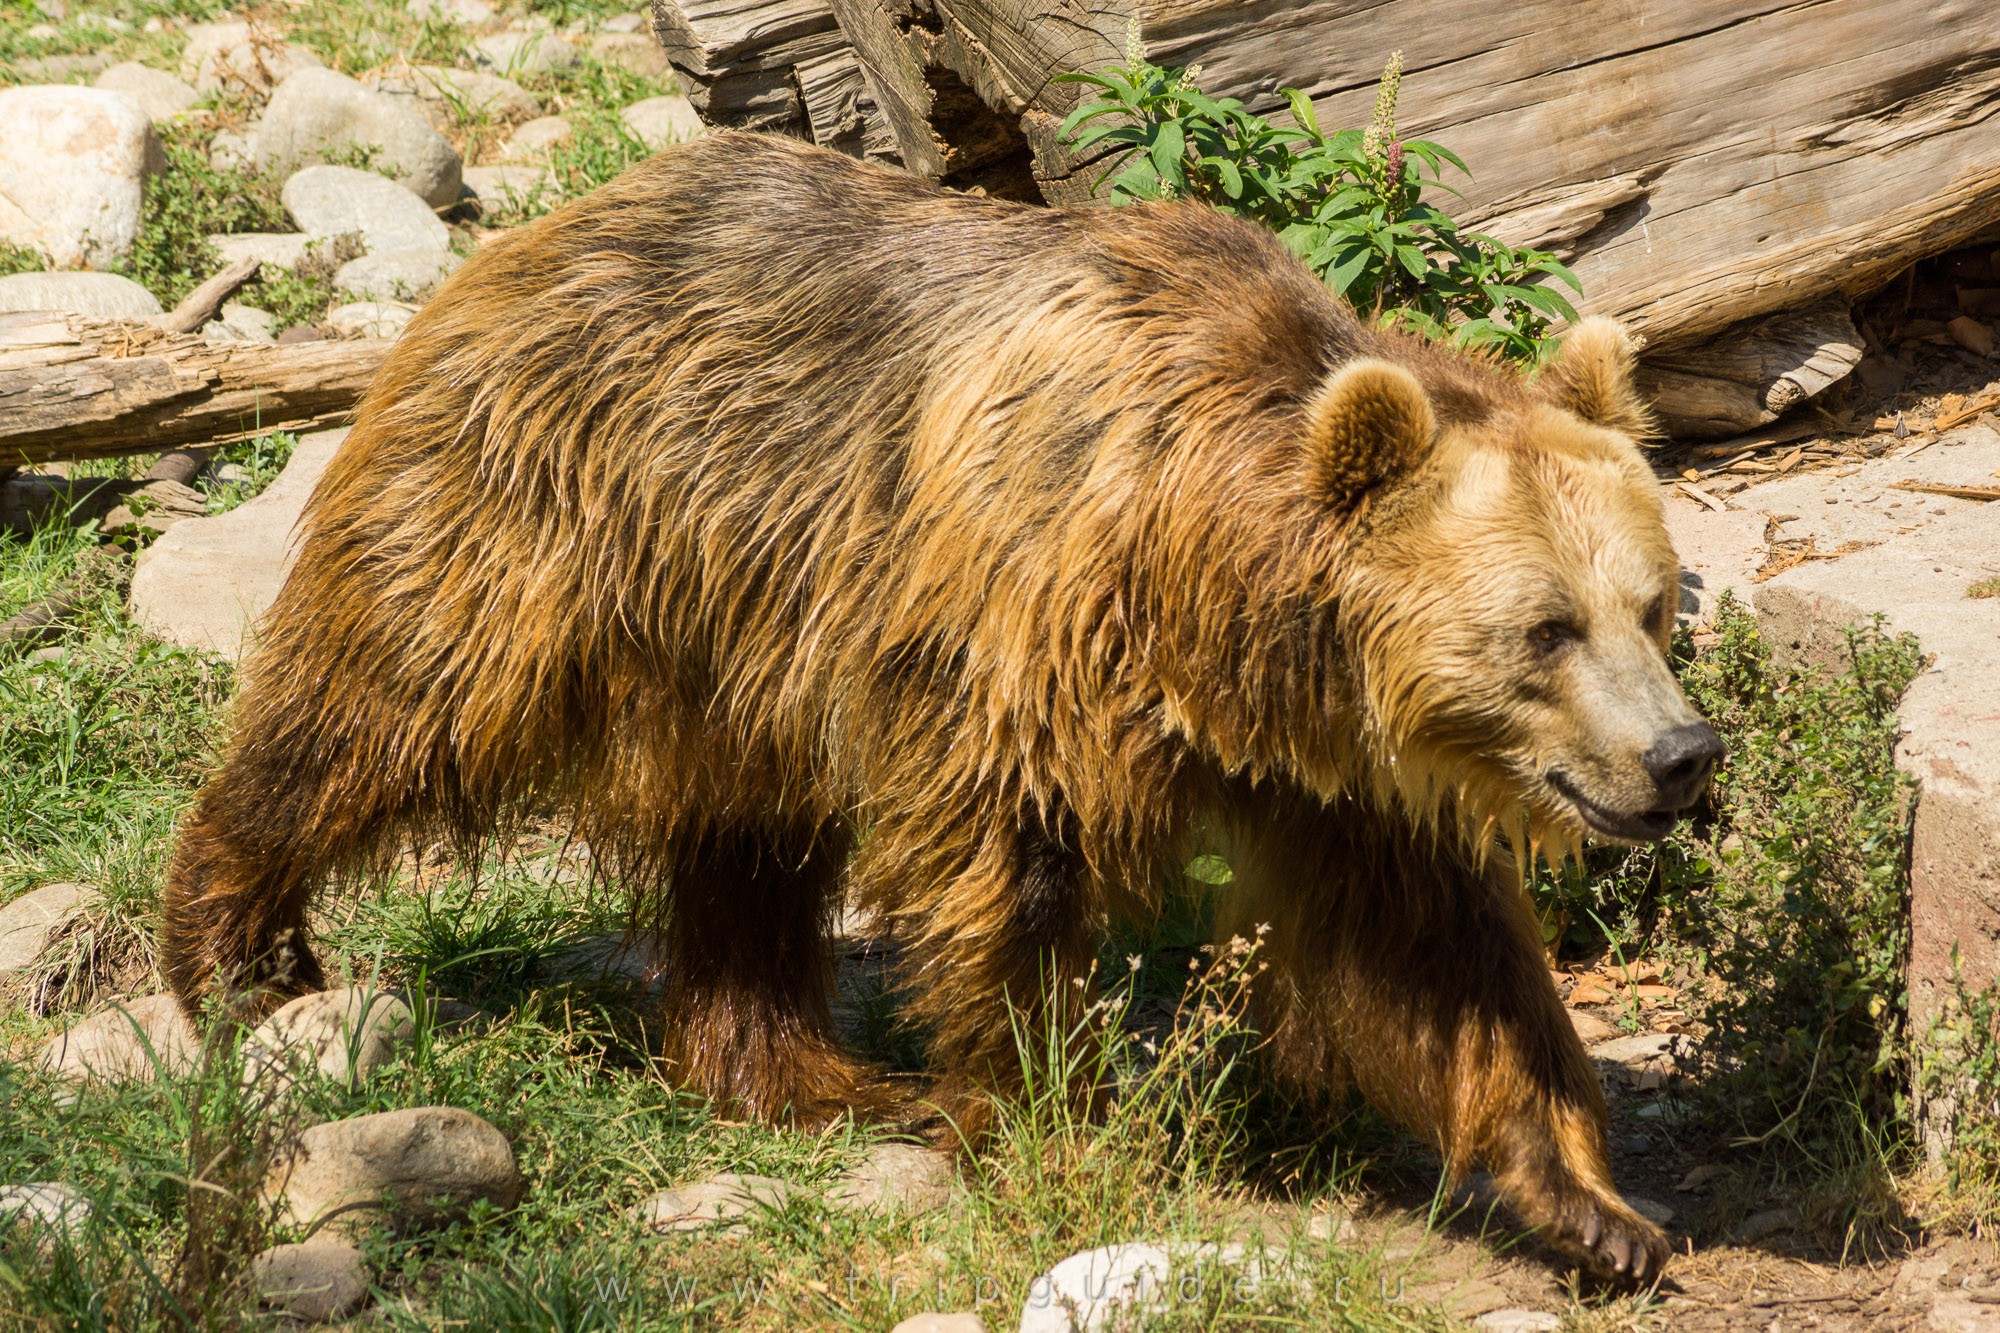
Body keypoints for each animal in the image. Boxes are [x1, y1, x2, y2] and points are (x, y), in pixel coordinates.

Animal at [159, 130, 1721, 1284]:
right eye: (1546, 628)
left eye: (1652, 601)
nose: (1680, 756)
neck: (1208, 589)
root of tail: (543, 229)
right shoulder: (1024, 621)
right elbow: (1011, 874)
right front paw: (1057, 1123)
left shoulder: (1331, 764)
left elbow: (1437, 955)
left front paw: (1594, 1208)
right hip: (546, 511)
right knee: (386, 697)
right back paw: (239, 947)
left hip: (740, 637)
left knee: (746, 847)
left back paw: (807, 1075)